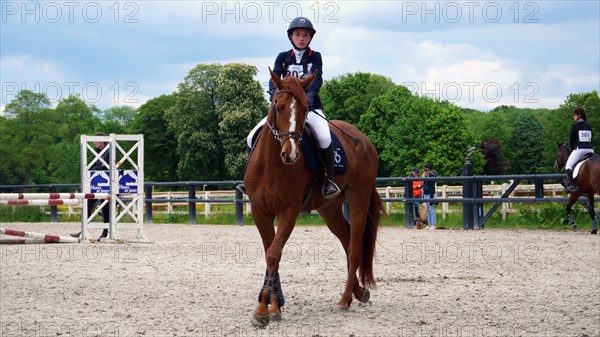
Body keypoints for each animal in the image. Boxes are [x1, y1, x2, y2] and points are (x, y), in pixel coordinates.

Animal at [244, 69, 384, 326]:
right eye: (278, 106)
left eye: (304, 109)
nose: (290, 154)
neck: (271, 163)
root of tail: (363, 140)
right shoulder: (260, 212)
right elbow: (270, 252)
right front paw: (274, 306)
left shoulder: (288, 212)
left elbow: (274, 253)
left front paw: (262, 310)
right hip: (331, 210)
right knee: (346, 240)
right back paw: (359, 292)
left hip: (358, 200)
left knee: (354, 247)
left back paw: (345, 299)